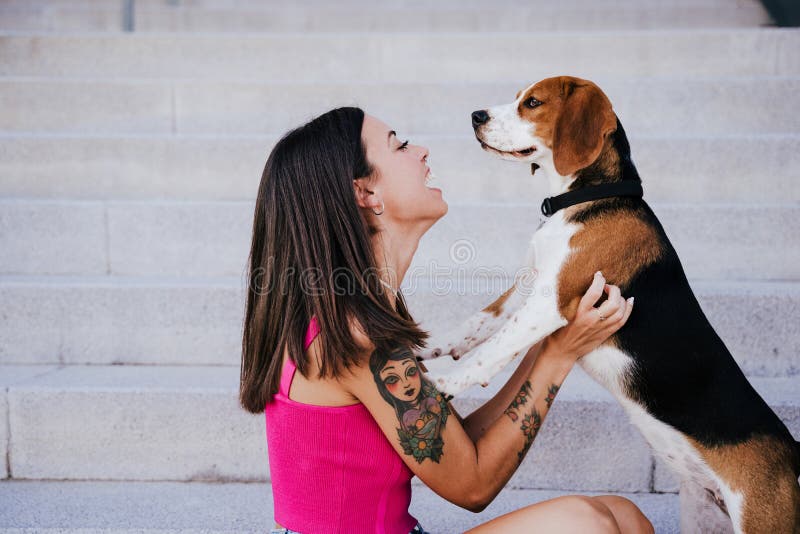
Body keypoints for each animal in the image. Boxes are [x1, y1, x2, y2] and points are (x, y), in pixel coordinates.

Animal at [418, 76, 800, 534]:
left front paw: (444, 384)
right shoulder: (525, 290)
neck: (588, 196)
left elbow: (490, 352)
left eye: (533, 103)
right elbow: (475, 324)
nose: (476, 115)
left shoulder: (549, 302)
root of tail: (794, 457)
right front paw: (421, 345)